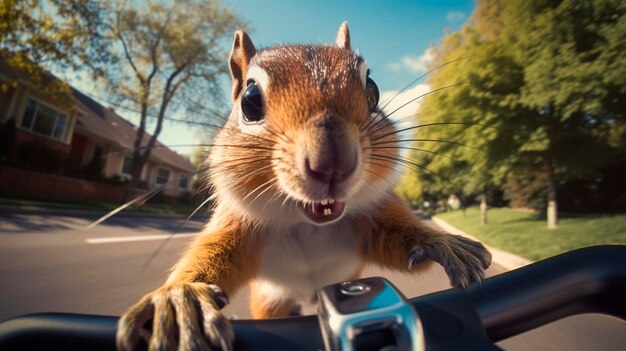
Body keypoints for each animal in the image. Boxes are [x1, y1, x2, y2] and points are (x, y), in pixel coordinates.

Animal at [114, 22, 490, 351]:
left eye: (373, 90)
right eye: (250, 100)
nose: (333, 163)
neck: (305, 222)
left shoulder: (371, 222)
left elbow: (399, 243)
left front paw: (446, 243)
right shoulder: (237, 227)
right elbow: (213, 254)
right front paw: (180, 298)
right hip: (271, 299)